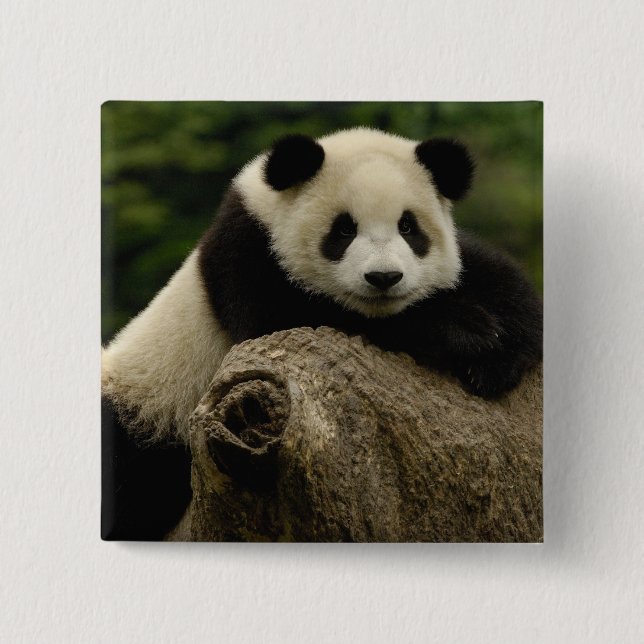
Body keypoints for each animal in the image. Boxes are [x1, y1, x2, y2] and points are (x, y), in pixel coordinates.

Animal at [101, 127, 542, 540]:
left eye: (408, 227)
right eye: (344, 230)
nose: (384, 277)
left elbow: (496, 278)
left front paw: (499, 354)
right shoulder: (248, 258)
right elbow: (295, 320)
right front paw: (466, 332)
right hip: (147, 406)